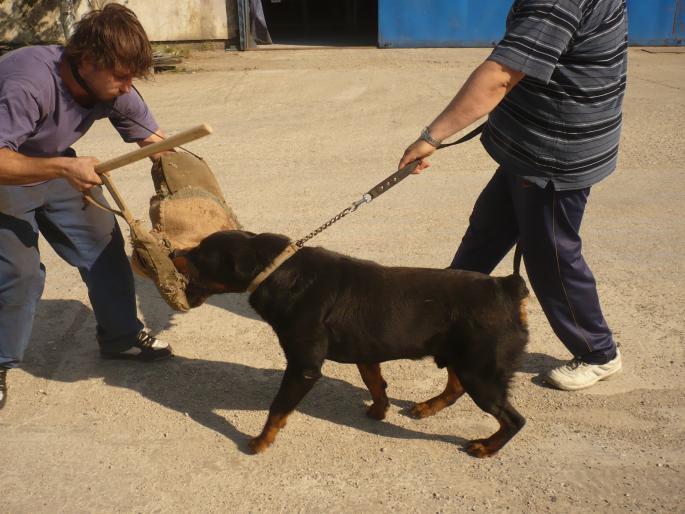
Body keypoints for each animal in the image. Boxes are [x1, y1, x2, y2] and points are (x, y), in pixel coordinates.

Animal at [172, 230, 528, 454]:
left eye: (199, 253)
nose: (174, 251)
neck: (277, 272)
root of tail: (507, 287)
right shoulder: (365, 350)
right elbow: (375, 383)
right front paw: (379, 410)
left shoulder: (303, 366)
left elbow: (278, 408)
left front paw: (260, 442)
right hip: (461, 357)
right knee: (455, 387)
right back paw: (428, 407)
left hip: (481, 371)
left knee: (513, 419)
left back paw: (487, 447)